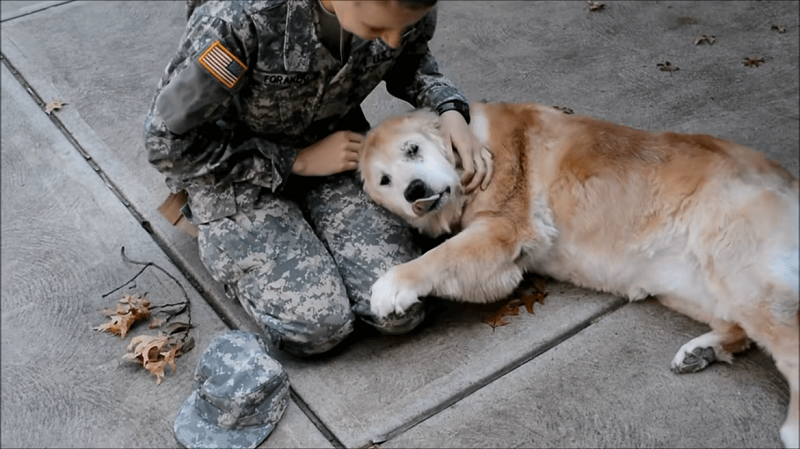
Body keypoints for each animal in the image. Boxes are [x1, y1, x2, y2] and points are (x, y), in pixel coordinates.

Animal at [358, 103, 800, 446]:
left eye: (412, 149)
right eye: (385, 180)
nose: (414, 191)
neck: (470, 155)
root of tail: (788, 179)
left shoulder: (503, 230)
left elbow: (438, 257)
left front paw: (389, 287)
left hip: (740, 271)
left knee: (790, 344)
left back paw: (793, 428)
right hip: (689, 284)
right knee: (738, 329)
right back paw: (703, 350)